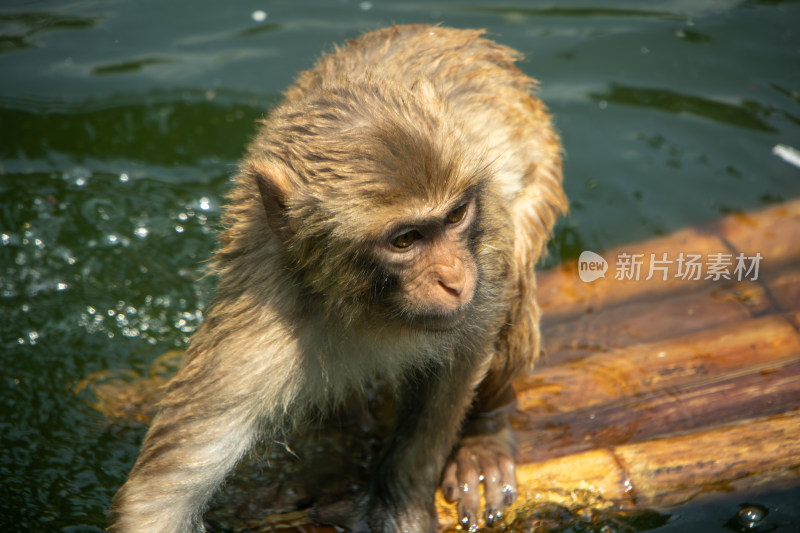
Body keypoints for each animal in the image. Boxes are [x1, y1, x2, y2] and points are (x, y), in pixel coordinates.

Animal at [109, 23, 564, 532]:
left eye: (456, 216)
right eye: (405, 240)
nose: (453, 278)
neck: (369, 307)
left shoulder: (485, 256)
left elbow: (462, 357)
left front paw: (401, 498)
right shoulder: (263, 325)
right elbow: (159, 494)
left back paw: (485, 431)